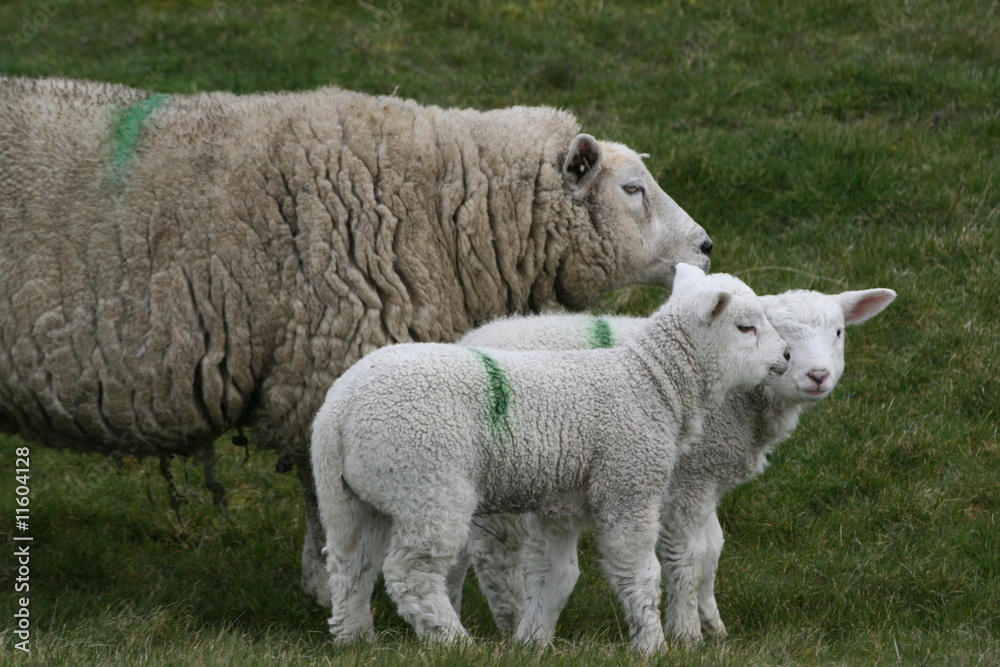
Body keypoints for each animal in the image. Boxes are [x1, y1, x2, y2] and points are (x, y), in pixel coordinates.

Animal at [0, 76, 714, 605]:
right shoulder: (327, 367)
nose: (707, 246)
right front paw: (334, 587)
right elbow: (327, 501)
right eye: (632, 189)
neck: (445, 208)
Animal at [310, 263, 791, 654]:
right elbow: (640, 572)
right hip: (426, 484)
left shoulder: (559, 505)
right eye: (746, 327)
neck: (651, 382)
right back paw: (454, 641)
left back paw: (356, 639)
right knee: (410, 572)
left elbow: (555, 576)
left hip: (355, 494)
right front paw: (653, 645)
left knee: (351, 564)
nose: (786, 355)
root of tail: (338, 412)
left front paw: (533, 642)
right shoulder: (628, 485)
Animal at [455, 285, 896, 643]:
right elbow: (690, 555)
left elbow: (713, 548)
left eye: (838, 333)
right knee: (494, 555)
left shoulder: (708, 477)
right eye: (779, 331)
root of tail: (470, 338)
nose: (818, 376)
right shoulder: (689, 479)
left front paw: (713, 625)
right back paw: (510, 622)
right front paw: (686, 633)